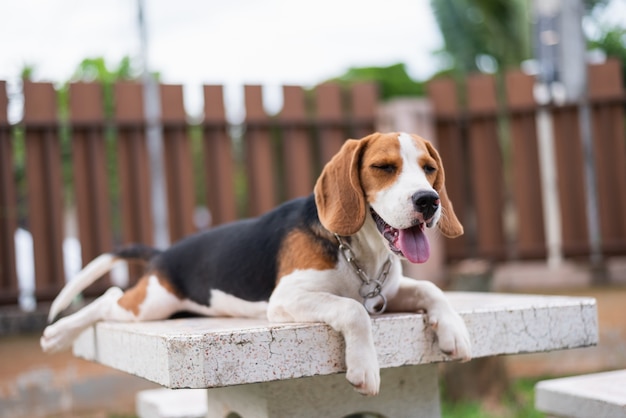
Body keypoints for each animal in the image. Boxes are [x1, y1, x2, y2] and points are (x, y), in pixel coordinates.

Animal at [40, 132, 468, 396]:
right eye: (383, 168)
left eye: (429, 168)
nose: (429, 200)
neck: (360, 251)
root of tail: (164, 252)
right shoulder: (287, 298)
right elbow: (352, 310)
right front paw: (364, 367)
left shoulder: (385, 292)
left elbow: (431, 289)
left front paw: (454, 331)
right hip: (151, 304)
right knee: (108, 298)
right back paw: (58, 334)